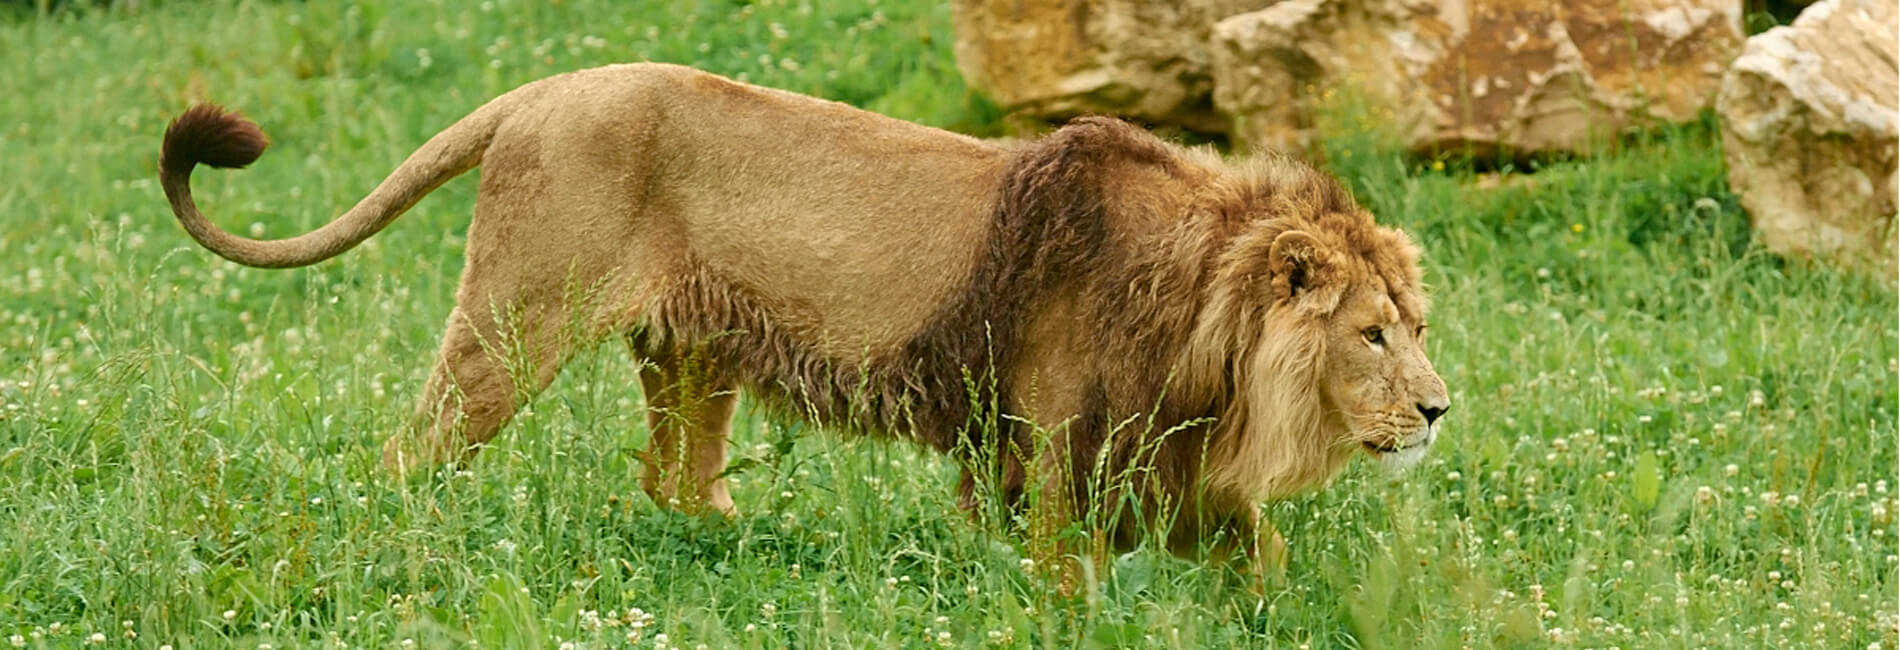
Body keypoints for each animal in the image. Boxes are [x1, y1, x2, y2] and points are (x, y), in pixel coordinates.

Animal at [163, 62, 1444, 585]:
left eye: (1417, 323)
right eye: (1372, 334)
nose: (1439, 409)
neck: (1206, 325)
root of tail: (541, 88)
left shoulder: (1169, 461)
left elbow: (1262, 563)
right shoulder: (1047, 451)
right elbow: (1062, 573)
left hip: (694, 353)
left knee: (676, 482)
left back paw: (745, 547)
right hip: (515, 321)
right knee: (412, 451)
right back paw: (405, 545)